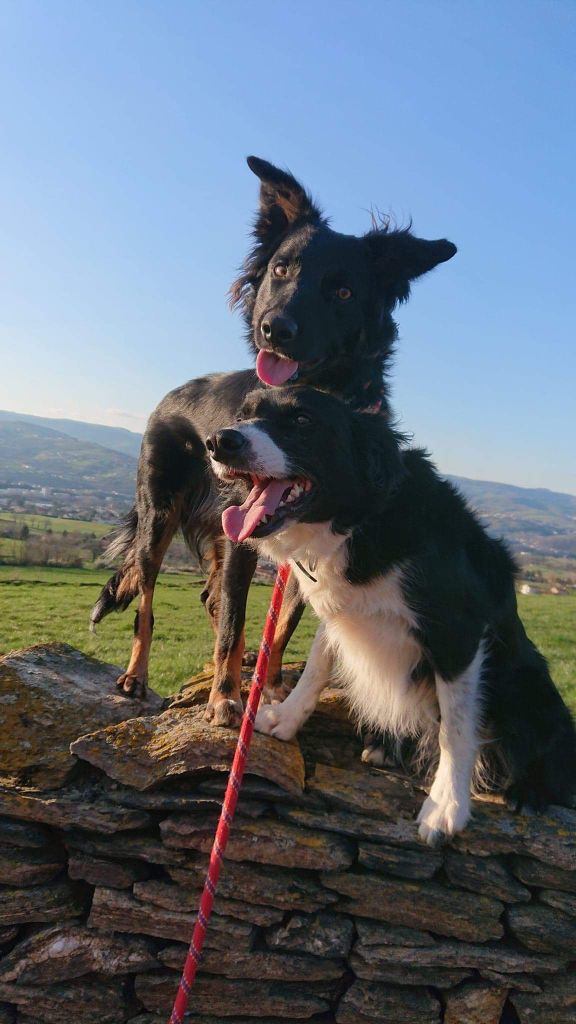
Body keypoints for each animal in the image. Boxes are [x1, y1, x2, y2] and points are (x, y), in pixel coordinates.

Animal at [206, 387, 573, 843]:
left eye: (303, 421)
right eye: (243, 414)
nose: (220, 441)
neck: (361, 519)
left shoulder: (458, 629)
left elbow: (456, 727)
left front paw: (445, 807)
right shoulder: (338, 612)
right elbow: (315, 669)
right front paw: (286, 720)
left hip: (528, 684)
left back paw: (530, 790)